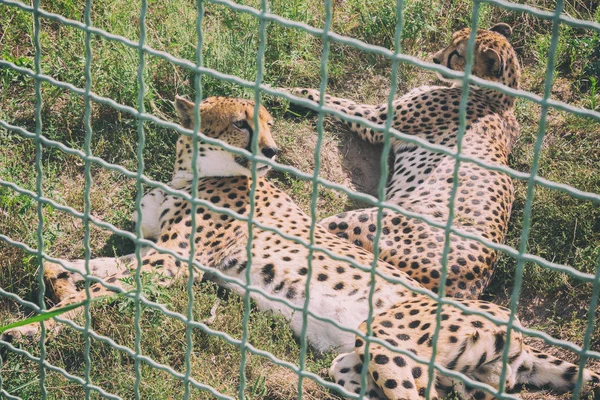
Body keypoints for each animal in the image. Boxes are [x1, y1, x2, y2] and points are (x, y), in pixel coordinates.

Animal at [3, 97, 596, 400]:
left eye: (267, 122)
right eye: (240, 123)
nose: (272, 150)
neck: (189, 169)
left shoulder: (173, 263)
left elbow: (102, 288)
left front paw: (37, 325)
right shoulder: (154, 249)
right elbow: (81, 265)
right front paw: (53, 283)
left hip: (389, 339)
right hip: (388, 362)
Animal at [290, 24, 520, 300]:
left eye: (457, 53)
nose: (435, 59)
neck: (497, 98)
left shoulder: (377, 120)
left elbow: (337, 102)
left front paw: (294, 92)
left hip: (366, 220)